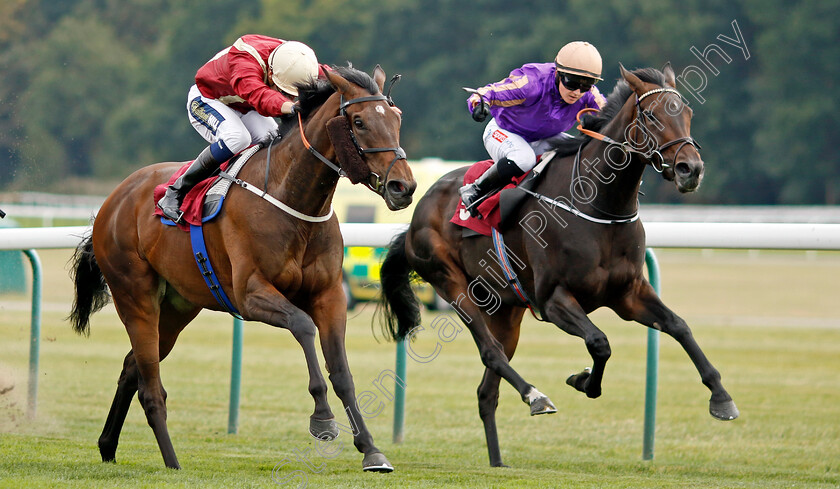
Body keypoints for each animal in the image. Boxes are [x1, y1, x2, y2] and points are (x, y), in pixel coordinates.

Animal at [69, 63, 416, 468]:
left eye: (397, 117)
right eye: (359, 122)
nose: (403, 187)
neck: (291, 197)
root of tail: (113, 199)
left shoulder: (329, 295)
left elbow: (342, 372)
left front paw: (372, 450)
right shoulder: (251, 294)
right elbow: (302, 326)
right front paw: (322, 420)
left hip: (176, 307)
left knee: (131, 368)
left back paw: (108, 445)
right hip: (135, 296)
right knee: (150, 388)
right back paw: (172, 461)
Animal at [378, 63, 740, 466]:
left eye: (687, 112)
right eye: (650, 115)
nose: (690, 169)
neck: (599, 205)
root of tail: (417, 215)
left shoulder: (629, 294)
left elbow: (679, 327)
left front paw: (721, 398)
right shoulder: (553, 300)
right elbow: (599, 342)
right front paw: (584, 381)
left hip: (505, 310)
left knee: (488, 389)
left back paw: (498, 461)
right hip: (453, 285)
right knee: (490, 351)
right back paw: (535, 395)